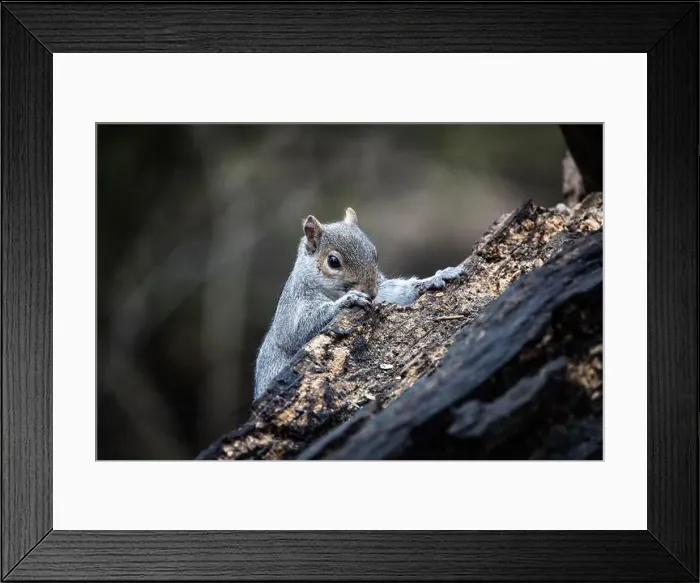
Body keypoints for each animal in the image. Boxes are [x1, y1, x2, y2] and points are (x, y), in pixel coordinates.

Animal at [253, 207, 465, 400]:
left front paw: (434, 278)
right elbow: (299, 331)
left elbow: (397, 292)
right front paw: (349, 300)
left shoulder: (382, 290)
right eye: (333, 261)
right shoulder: (294, 306)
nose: (371, 292)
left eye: (374, 253)